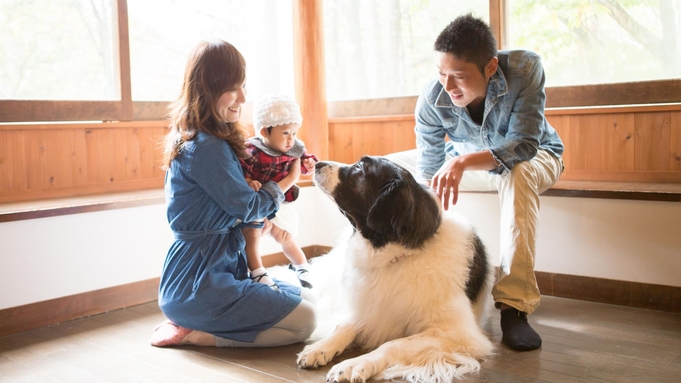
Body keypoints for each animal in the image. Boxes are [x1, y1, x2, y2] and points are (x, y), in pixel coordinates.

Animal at [294, 157, 492, 383]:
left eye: (360, 167)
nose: (317, 163)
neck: (397, 253)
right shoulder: (368, 305)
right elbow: (345, 325)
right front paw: (321, 347)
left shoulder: (457, 333)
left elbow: (393, 344)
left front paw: (355, 364)